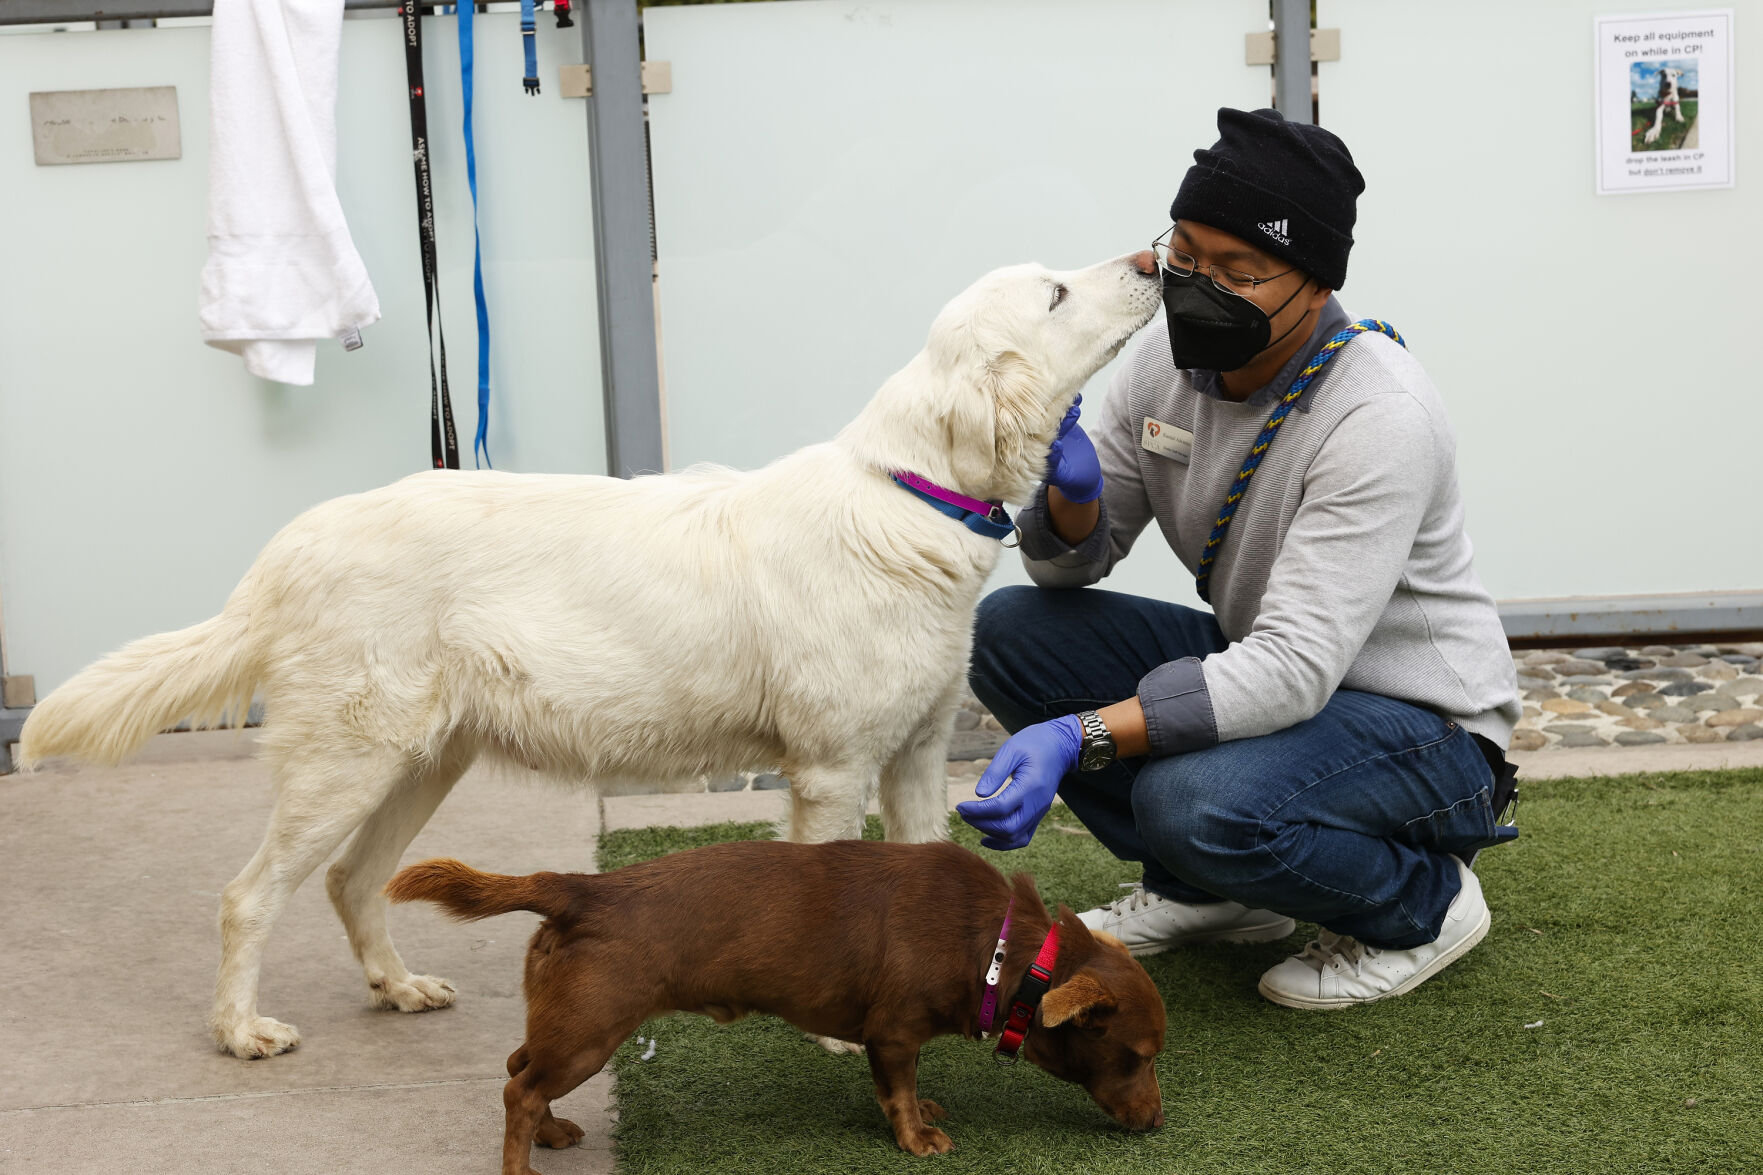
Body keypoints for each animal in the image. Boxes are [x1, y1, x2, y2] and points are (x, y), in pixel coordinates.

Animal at [20, 252, 1170, 1058]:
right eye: (1057, 292)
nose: (1153, 259)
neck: (909, 495)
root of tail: (289, 544)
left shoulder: (919, 756)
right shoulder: (830, 770)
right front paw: (840, 1031)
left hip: (417, 763)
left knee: (353, 880)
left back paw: (398, 986)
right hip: (345, 762)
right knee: (249, 895)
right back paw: (239, 1031)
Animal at [393, 832, 1170, 1164]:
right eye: (1136, 1056)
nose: (1159, 1123)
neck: (1005, 948)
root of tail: (580, 888)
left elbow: (909, 1088)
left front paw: (924, 1110)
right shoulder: (892, 1034)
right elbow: (896, 1091)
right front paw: (915, 1135)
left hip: (567, 1024)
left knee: (518, 1067)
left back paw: (551, 1134)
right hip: (590, 1032)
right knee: (519, 1090)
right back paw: (523, 1160)